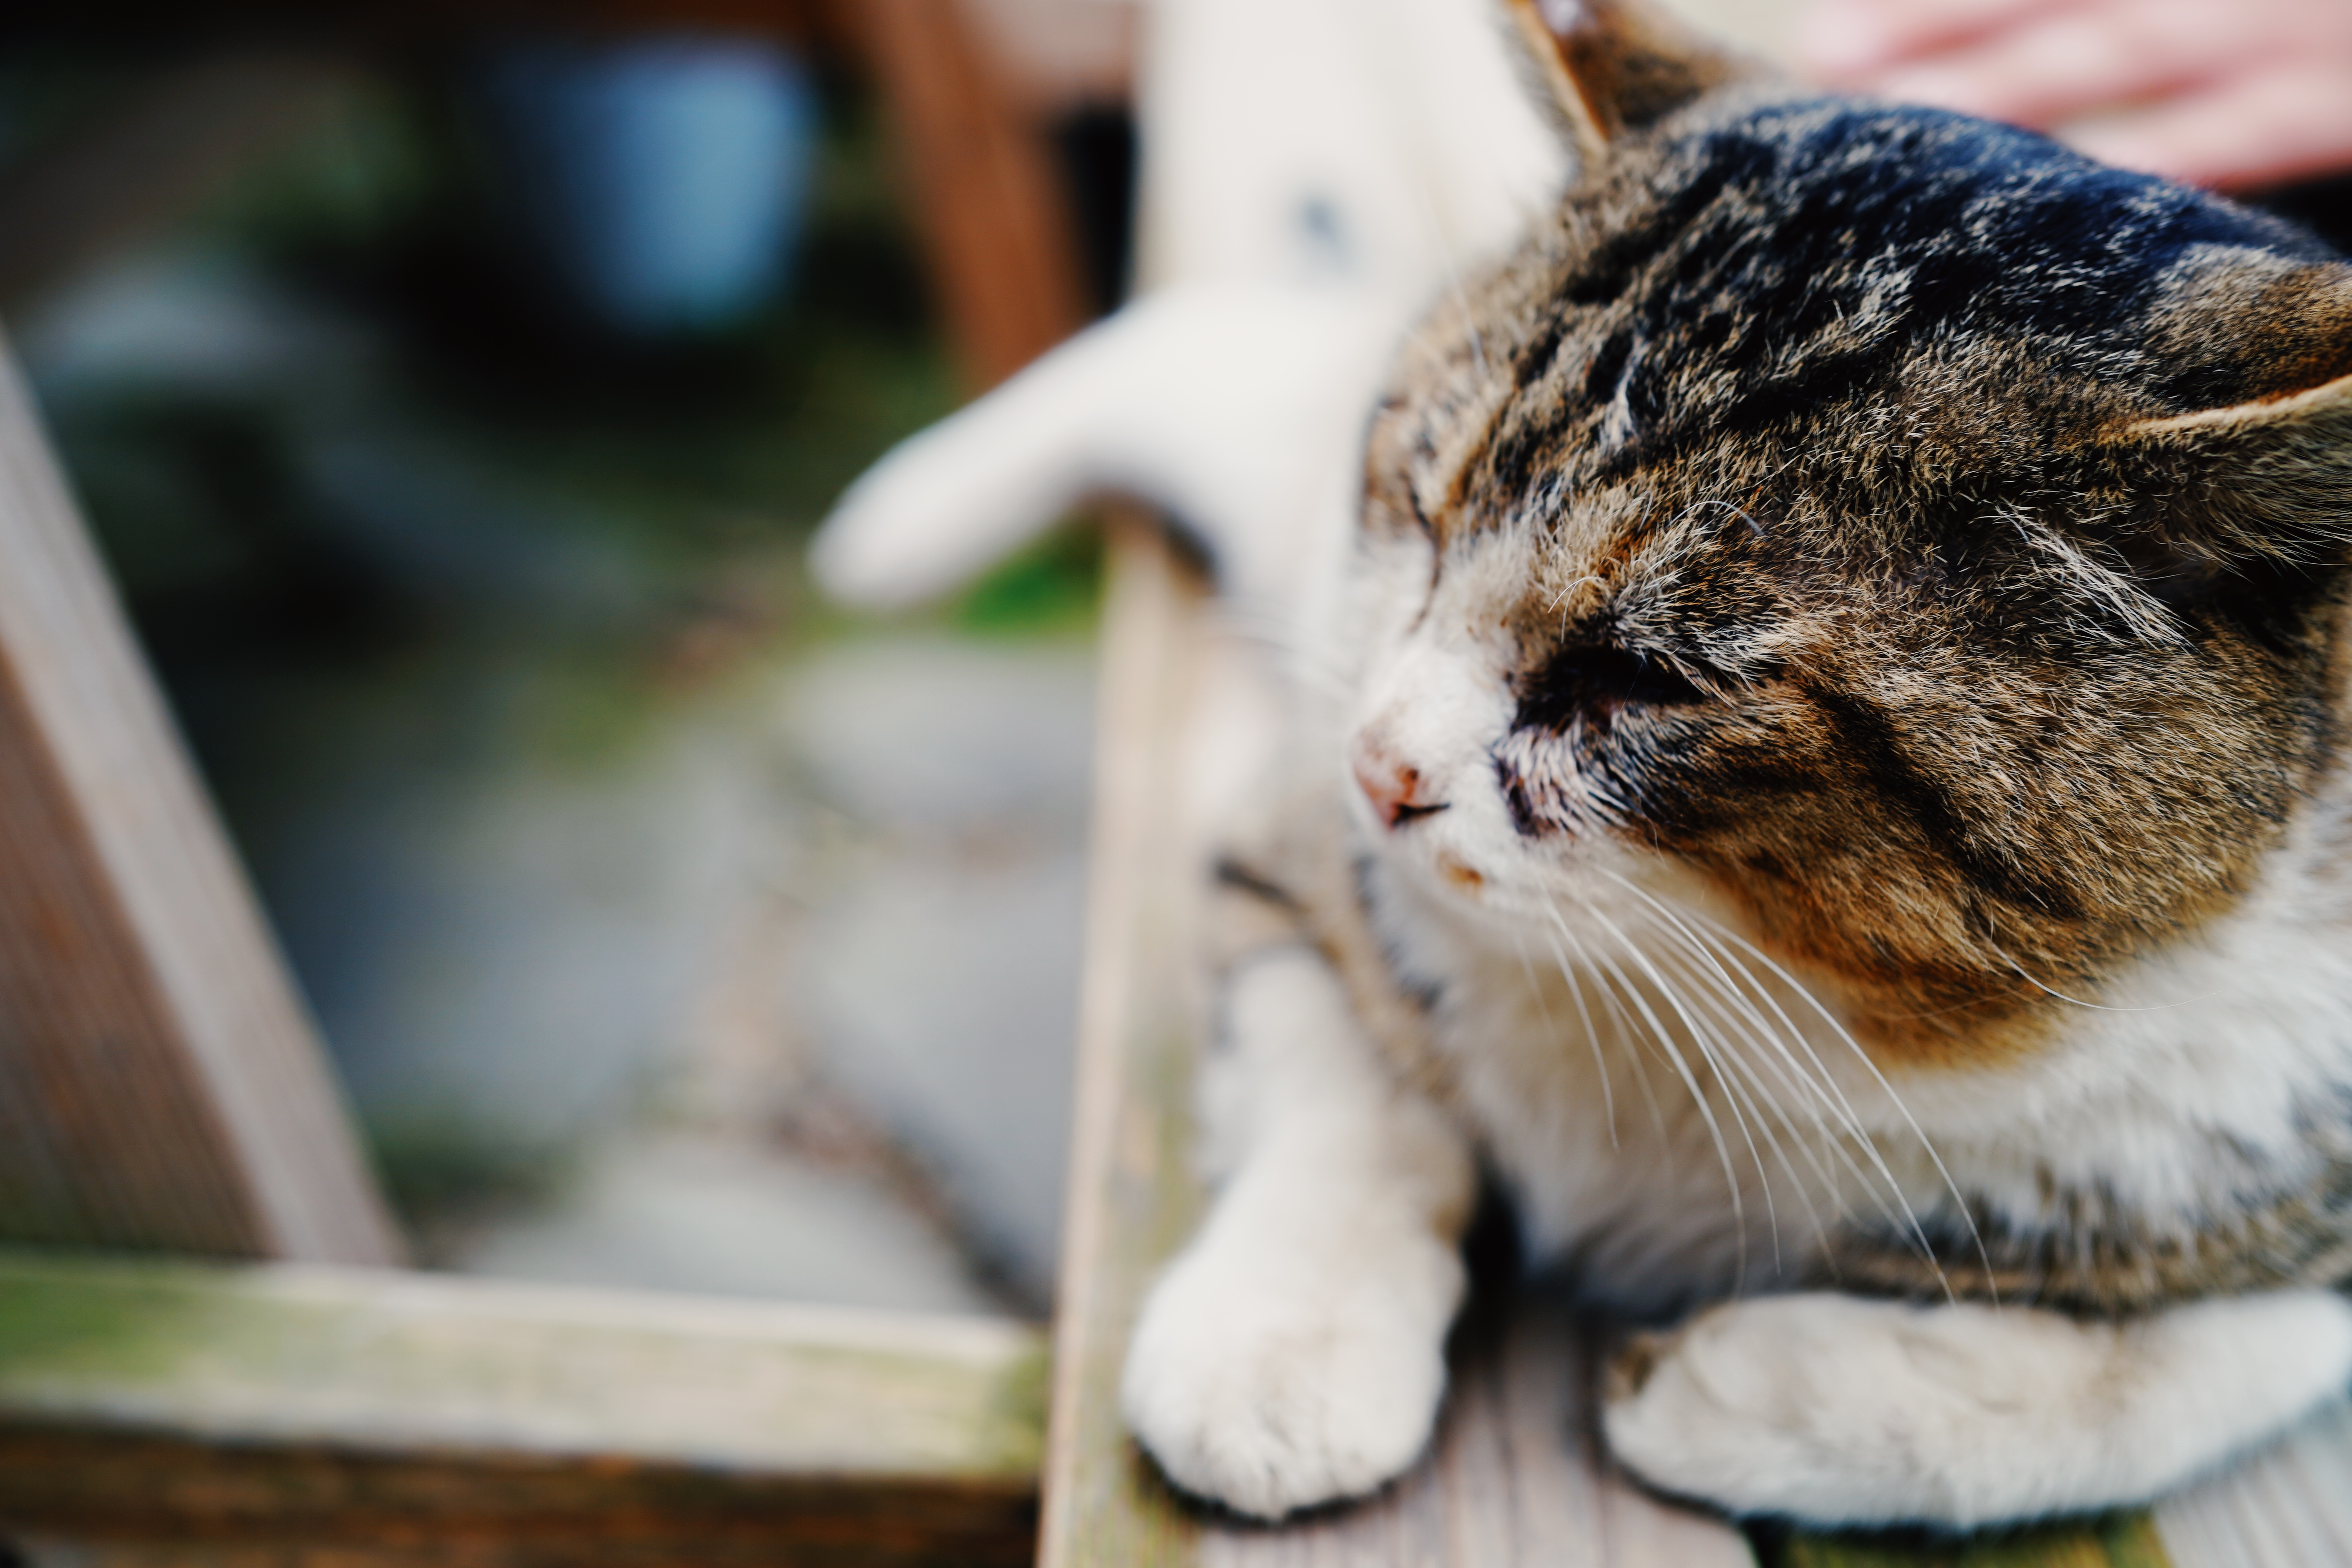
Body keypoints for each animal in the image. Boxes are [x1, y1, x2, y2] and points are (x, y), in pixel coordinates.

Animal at [818, 0, 2352, 1533]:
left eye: (1643, 678)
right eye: (1422, 513)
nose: (1377, 768)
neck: (1718, 997)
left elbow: (2185, 1373)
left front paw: (1748, 1386)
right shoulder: (1293, 849)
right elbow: (1354, 1092)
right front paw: (1280, 1347)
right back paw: (898, 526)